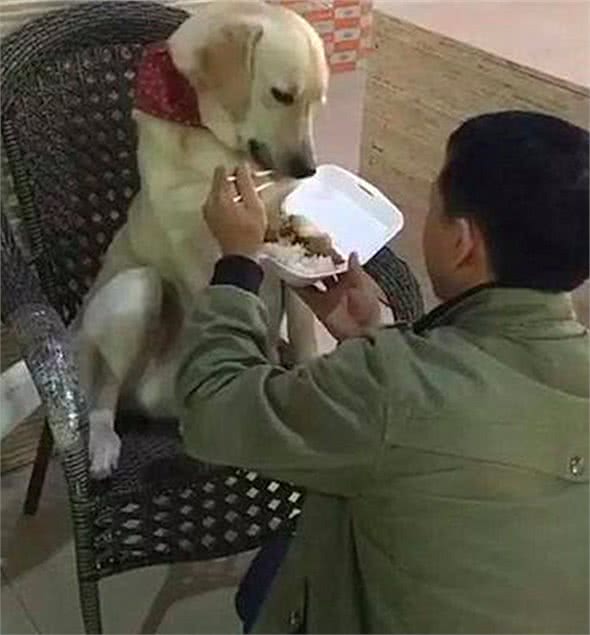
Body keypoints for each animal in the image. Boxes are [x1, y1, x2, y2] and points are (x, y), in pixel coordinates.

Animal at [75, 1, 329, 479]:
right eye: (281, 95)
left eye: (315, 104)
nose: (308, 169)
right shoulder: (202, 263)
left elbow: (303, 332)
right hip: (136, 290)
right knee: (105, 390)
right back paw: (104, 441)